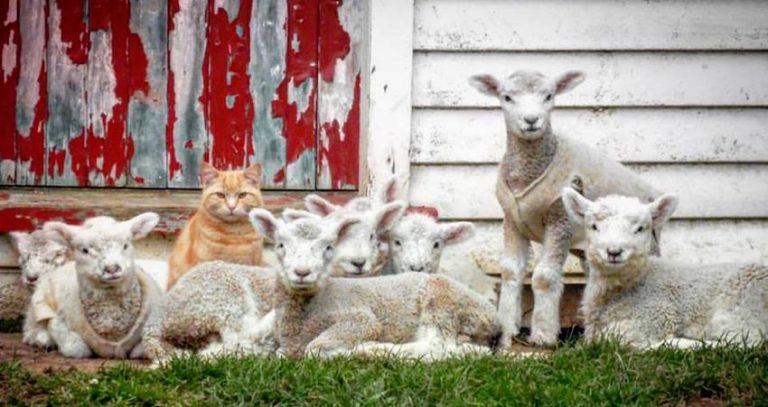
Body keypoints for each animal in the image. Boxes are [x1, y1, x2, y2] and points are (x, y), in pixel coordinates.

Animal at [24, 214, 163, 358]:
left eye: (125, 245)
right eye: (84, 250)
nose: (112, 269)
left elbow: (142, 349)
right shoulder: (58, 321)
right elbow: (77, 348)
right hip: (38, 306)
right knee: (31, 330)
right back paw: (44, 340)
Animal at [250, 208, 500, 359]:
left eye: (328, 247)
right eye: (280, 245)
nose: (302, 272)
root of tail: (493, 317)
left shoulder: (361, 319)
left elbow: (315, 349)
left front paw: (348, 352)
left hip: (442, 303)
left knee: (435, 347)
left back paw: (373, 349)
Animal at [469, 70, 662, 347]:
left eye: (549, 96)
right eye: (506, 97)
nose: (531, 120)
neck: (529, 170)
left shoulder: (560, 220)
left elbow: (543, 276)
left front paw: (543, 335)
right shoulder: (512, 219)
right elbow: (510, 272)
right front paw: (506, 330)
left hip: (647, 244)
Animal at [561, 188, 768, 349]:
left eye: (640, 228)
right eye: (593, 226)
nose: (614, 252)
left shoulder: (657, 315)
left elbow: (613, 336)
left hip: (742, 305)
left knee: (745, 343)